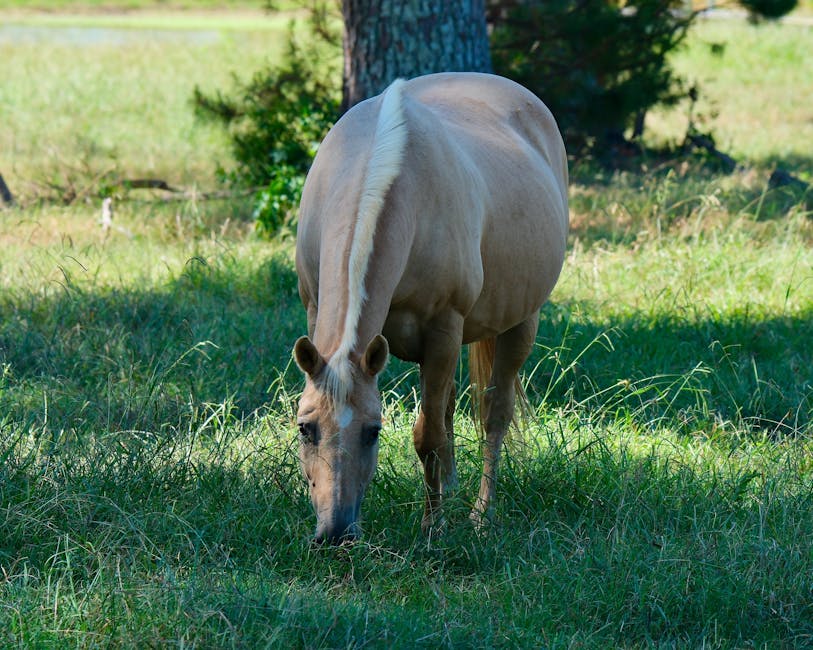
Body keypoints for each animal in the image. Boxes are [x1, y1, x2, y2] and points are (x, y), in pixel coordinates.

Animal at [294, 71, 568, 540]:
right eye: (305, 429)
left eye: (373, 431)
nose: (336, 531)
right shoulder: (315, 312)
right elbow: (438, 426)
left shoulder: (443, 331)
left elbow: (428, 437)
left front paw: (432, 527)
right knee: (451, 407)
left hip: (519, 324)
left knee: (493, 415)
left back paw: (480, 514)